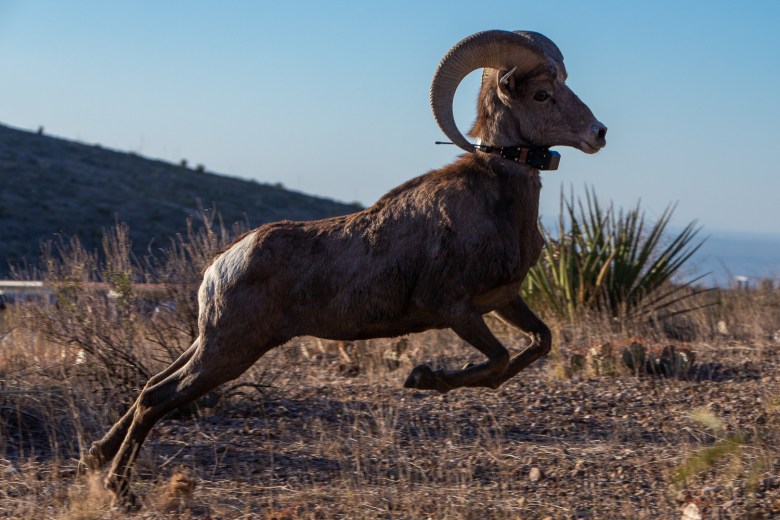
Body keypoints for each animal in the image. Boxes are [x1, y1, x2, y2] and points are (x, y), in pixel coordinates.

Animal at [80, 29, 607, 508]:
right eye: (542, 94)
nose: (598, 133)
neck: (500, 199)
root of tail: (219, 267)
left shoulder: (503, 302)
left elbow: (537, 345)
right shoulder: (453, 307)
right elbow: (496, 361)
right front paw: (422, 378)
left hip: (212, 346)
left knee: (150, 386)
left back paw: (94, 458)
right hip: (228, 353)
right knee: (156, 399)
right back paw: (119, 491)